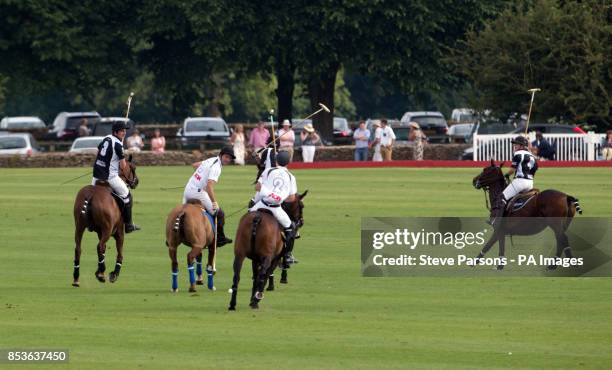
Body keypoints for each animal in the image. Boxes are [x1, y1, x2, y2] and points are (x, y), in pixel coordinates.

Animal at [72, 153, 139, 286]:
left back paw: (77, 278)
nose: (136, 182)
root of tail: (90, 195)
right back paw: (101, 274)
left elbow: (103, 253)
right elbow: (120, 253)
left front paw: (100, 270)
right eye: (133, 168)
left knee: (78, 248)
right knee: (100, 246)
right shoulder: (119, 232)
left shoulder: (100, 232)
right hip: (107, 229)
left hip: (79, 226)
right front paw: (114, 274)